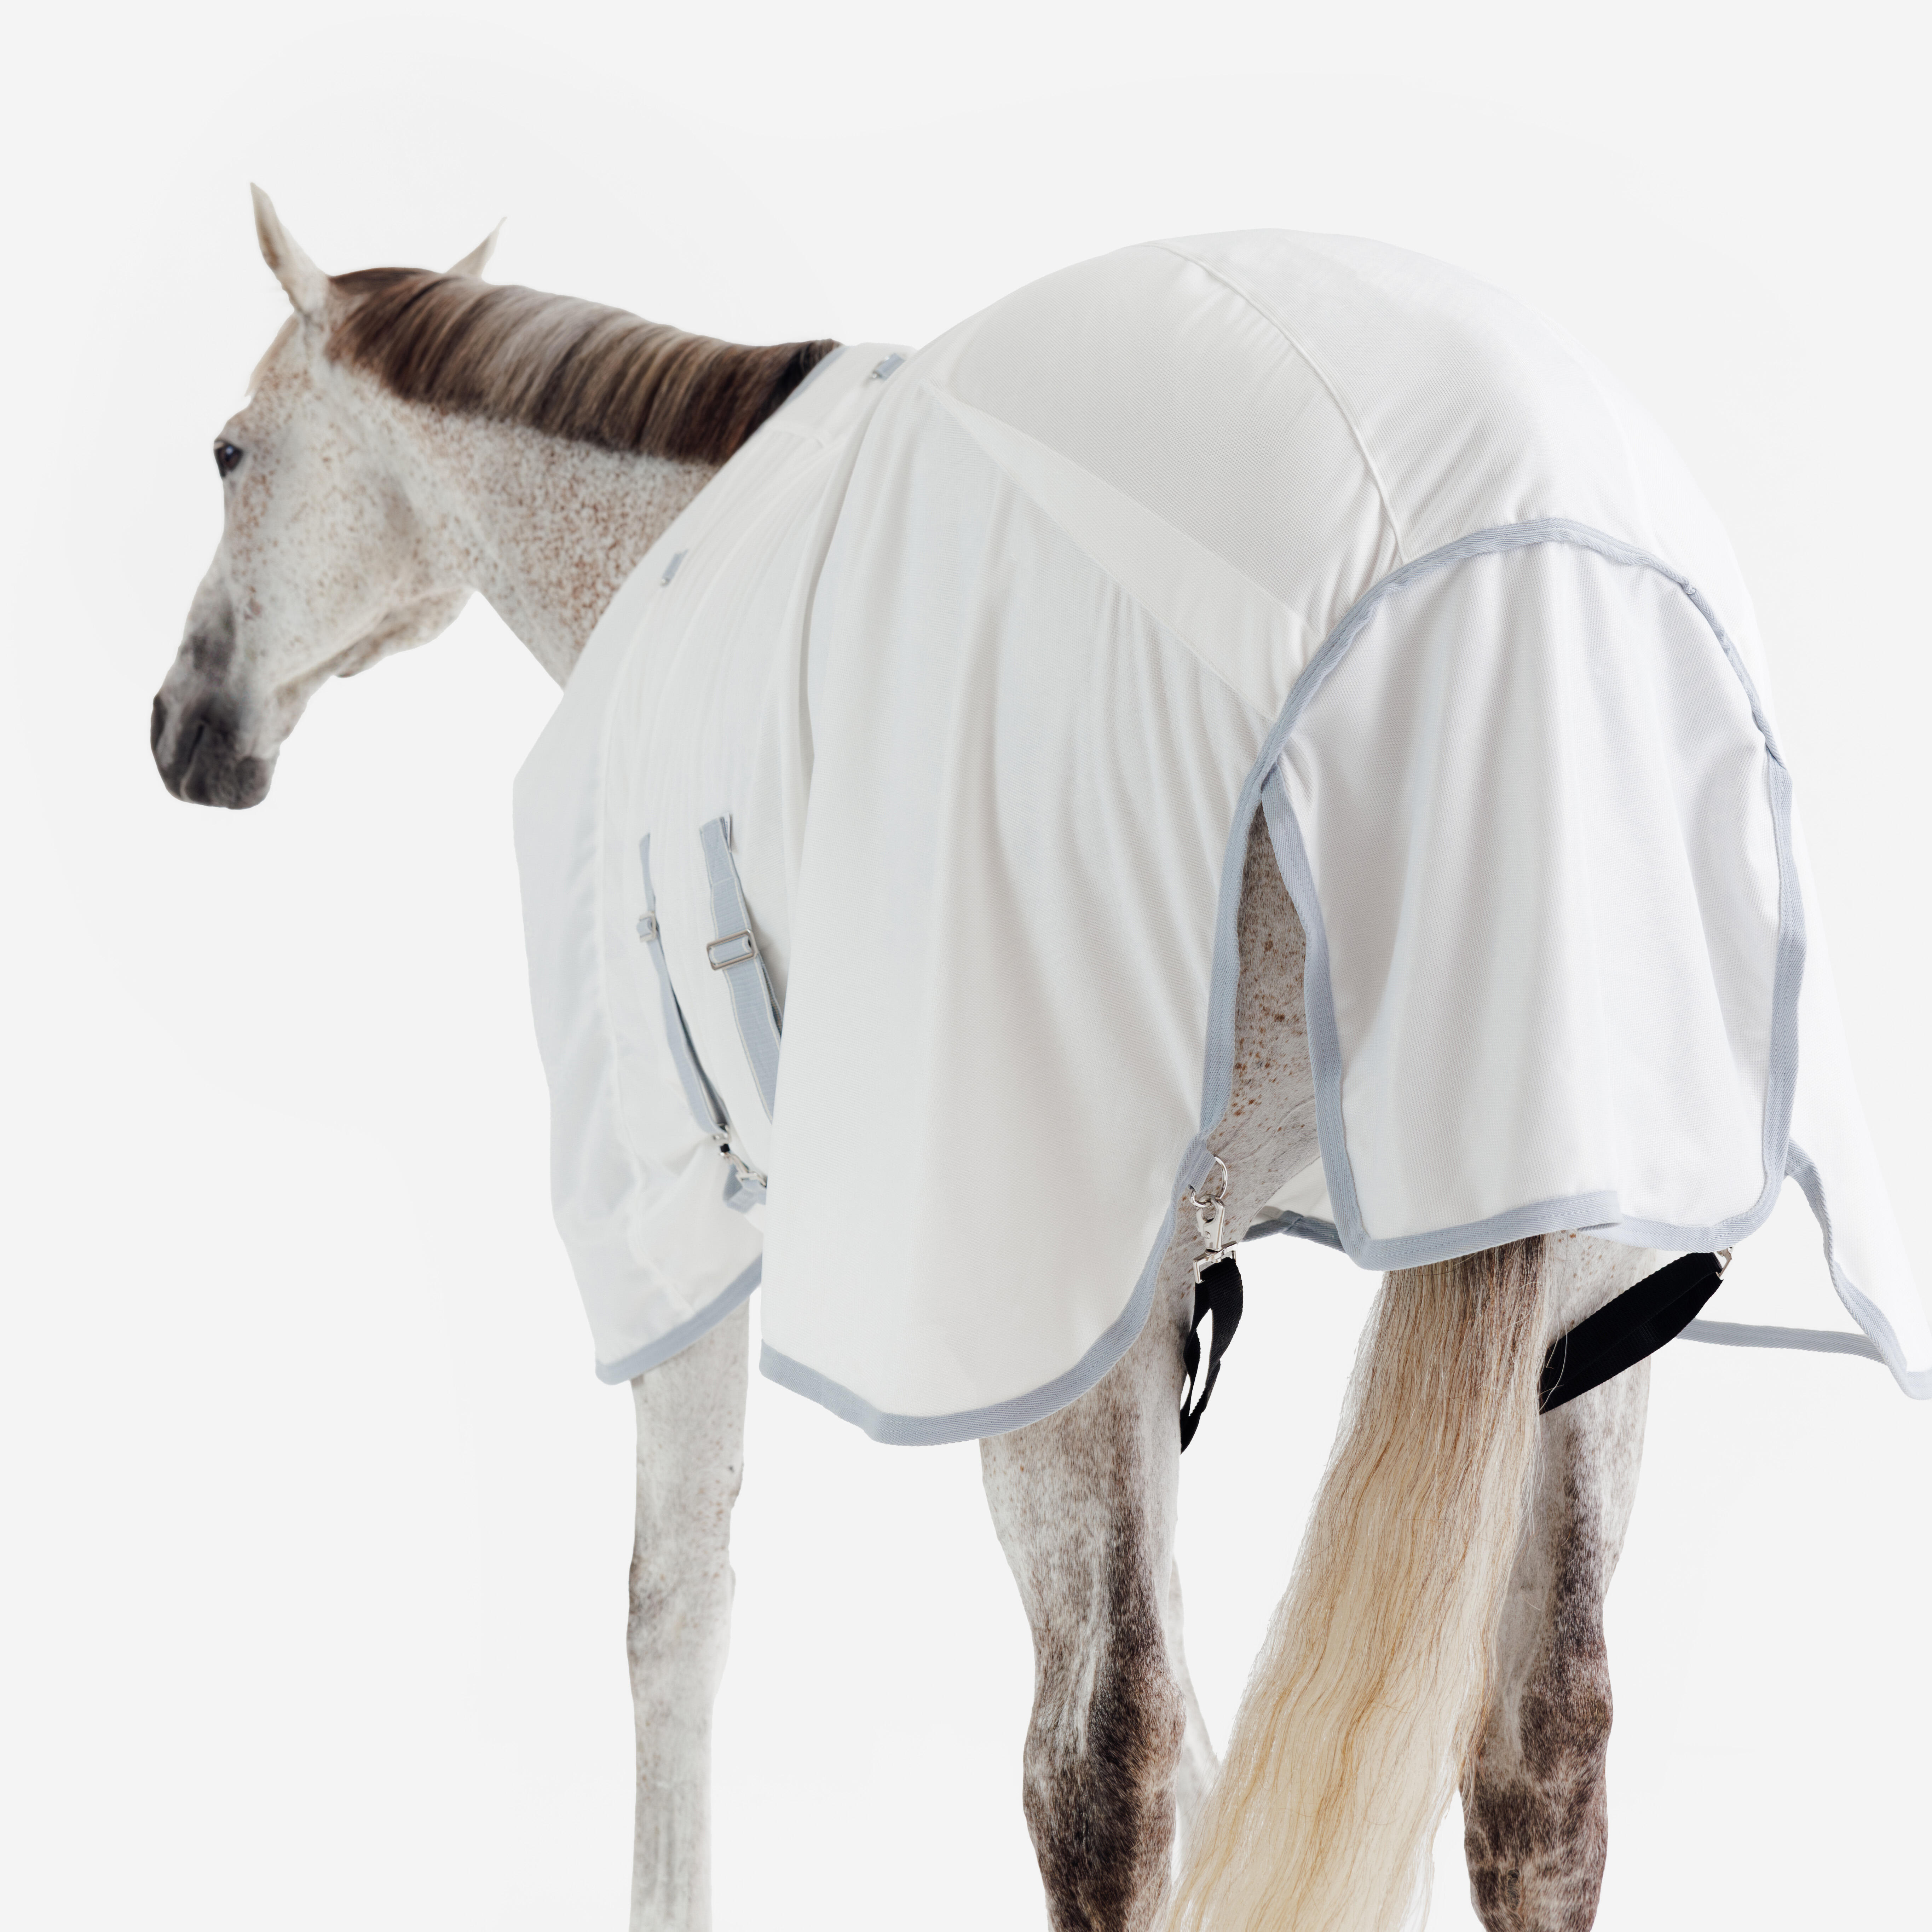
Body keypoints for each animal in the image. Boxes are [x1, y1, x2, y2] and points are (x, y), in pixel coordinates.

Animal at [149, 190, 1732, 1932]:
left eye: (228, 452)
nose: (184, 727)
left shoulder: (720, 1220)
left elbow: (673, 1611)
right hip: (1585, 1287)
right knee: (1542, 1753)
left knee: (1095, 1765)